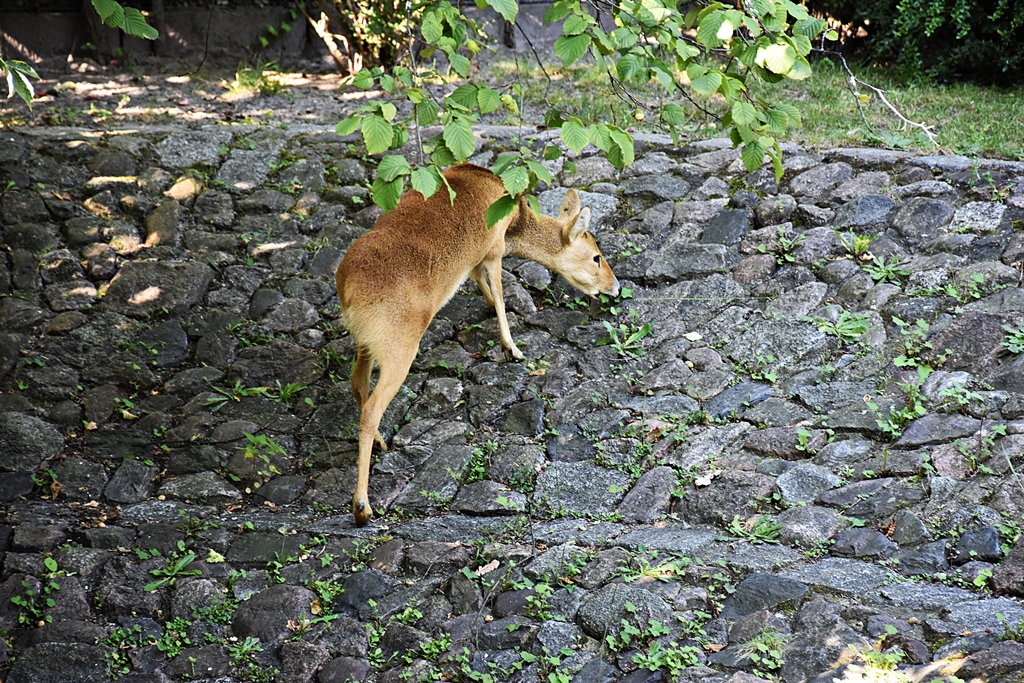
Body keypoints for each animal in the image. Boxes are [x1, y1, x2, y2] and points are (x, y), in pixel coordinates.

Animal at [335, 163, 620, 525]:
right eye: (596, 257)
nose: (615, 286)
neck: (515, 217)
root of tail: (347, 288)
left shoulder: (475, 259)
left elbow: (477, 281)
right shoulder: (494, 249)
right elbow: (498, 292)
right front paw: (512, 349)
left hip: (366, 345)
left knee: (358, 386)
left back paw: (382, 445)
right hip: (399, 349)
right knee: (372, 407)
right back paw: (362, 507)